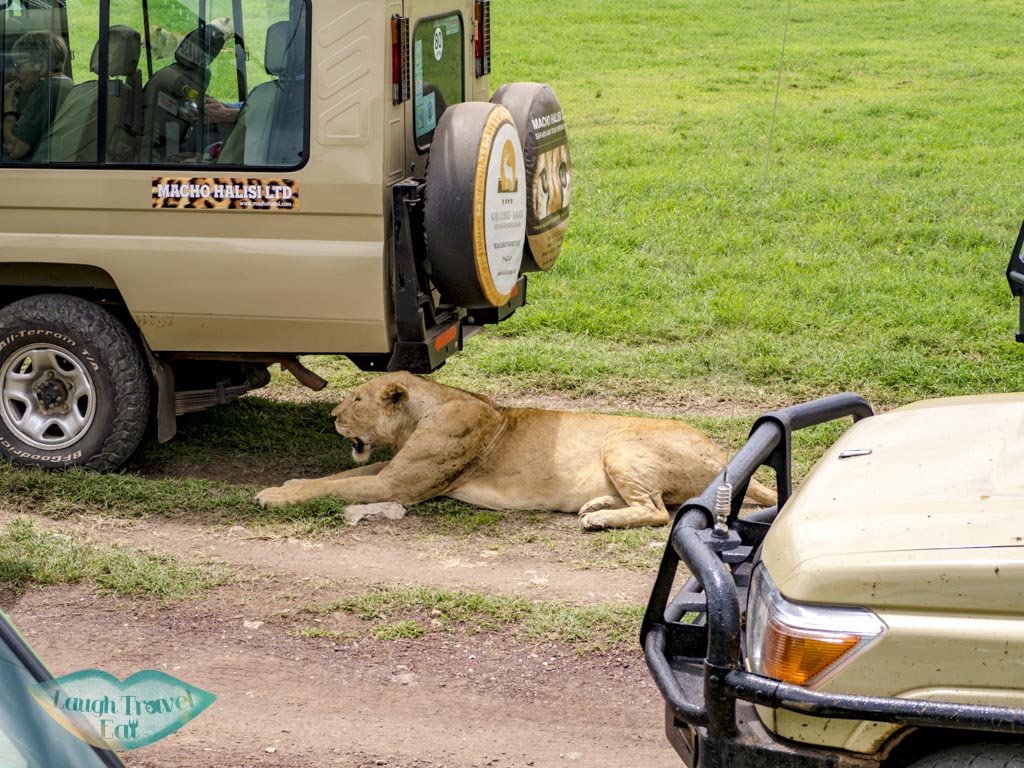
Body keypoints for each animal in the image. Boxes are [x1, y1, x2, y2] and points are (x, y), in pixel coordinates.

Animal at [255, 372, 777, 530]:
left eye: (357, 400)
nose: (331, 416)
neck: (423, 411)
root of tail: (721, 453)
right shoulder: (391, 469)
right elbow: (333, 479)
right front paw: (291, 481)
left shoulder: (399, 484)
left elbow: (339, 487)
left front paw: (272, 496)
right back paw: (596, 506)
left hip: (620, 441)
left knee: (657, 511)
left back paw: (599, 519)